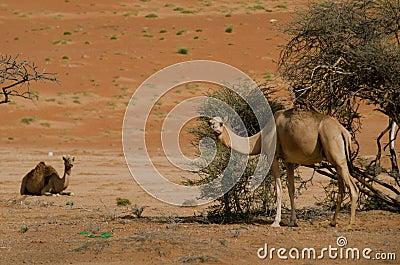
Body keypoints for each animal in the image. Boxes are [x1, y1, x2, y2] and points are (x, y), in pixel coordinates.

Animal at [209, 108, 360, 227]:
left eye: (221, 123)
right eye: (211, 122)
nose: (214, 127)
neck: (260, 138)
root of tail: (343, 131)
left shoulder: (273, 157)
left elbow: (278, 189)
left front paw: (276, 222)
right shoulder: (289, 161)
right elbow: (291, 189)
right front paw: (293, 221)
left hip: (337, 157)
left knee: (353, 188)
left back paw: (350, 223)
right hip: (336, 160)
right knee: (342, 189)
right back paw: (333, 222)